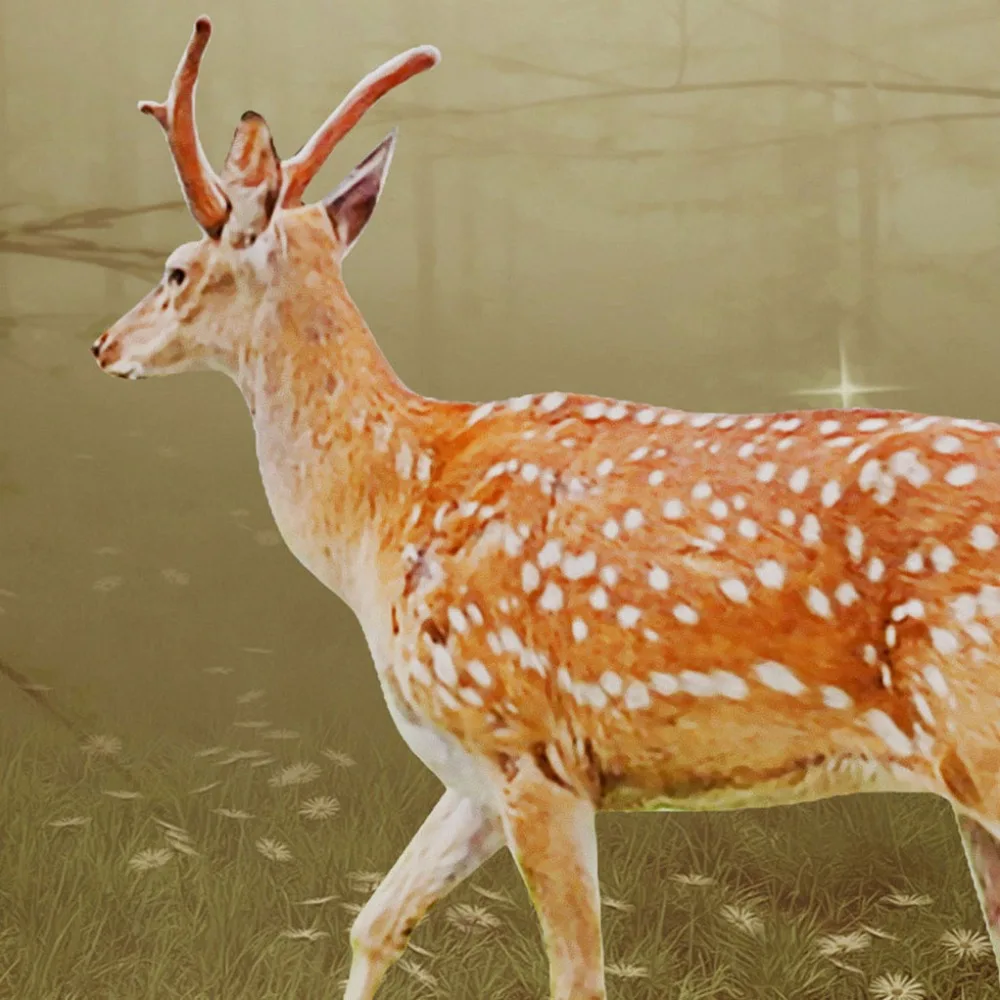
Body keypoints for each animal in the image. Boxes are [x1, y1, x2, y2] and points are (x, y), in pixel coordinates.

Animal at [89, 15, 1000, 999]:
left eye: (176, 270)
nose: (103, 344)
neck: (386, 514)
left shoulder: (528, 743)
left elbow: (576, 975)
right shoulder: (470, 769)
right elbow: (374, 921)